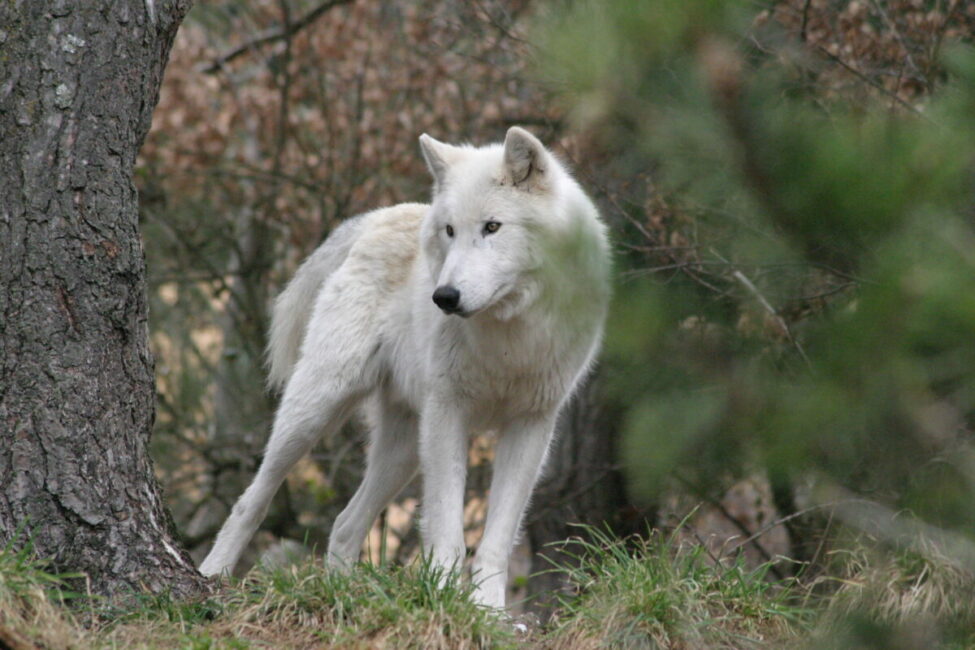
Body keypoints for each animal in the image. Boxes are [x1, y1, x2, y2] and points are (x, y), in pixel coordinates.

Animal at [200, 126, 608, 608]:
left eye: (492, 227)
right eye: (450, 231)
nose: (444, 297)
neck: (510, 333)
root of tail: (380, 216)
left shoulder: (532, 425)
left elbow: (495, 541)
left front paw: (489, 612)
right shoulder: (449, 414)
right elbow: (447, 530)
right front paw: (448, 602)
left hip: (405, 449)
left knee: (344, 524)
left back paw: (343, 594)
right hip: (318, 410)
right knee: (252, 500)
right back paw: (211, 577)